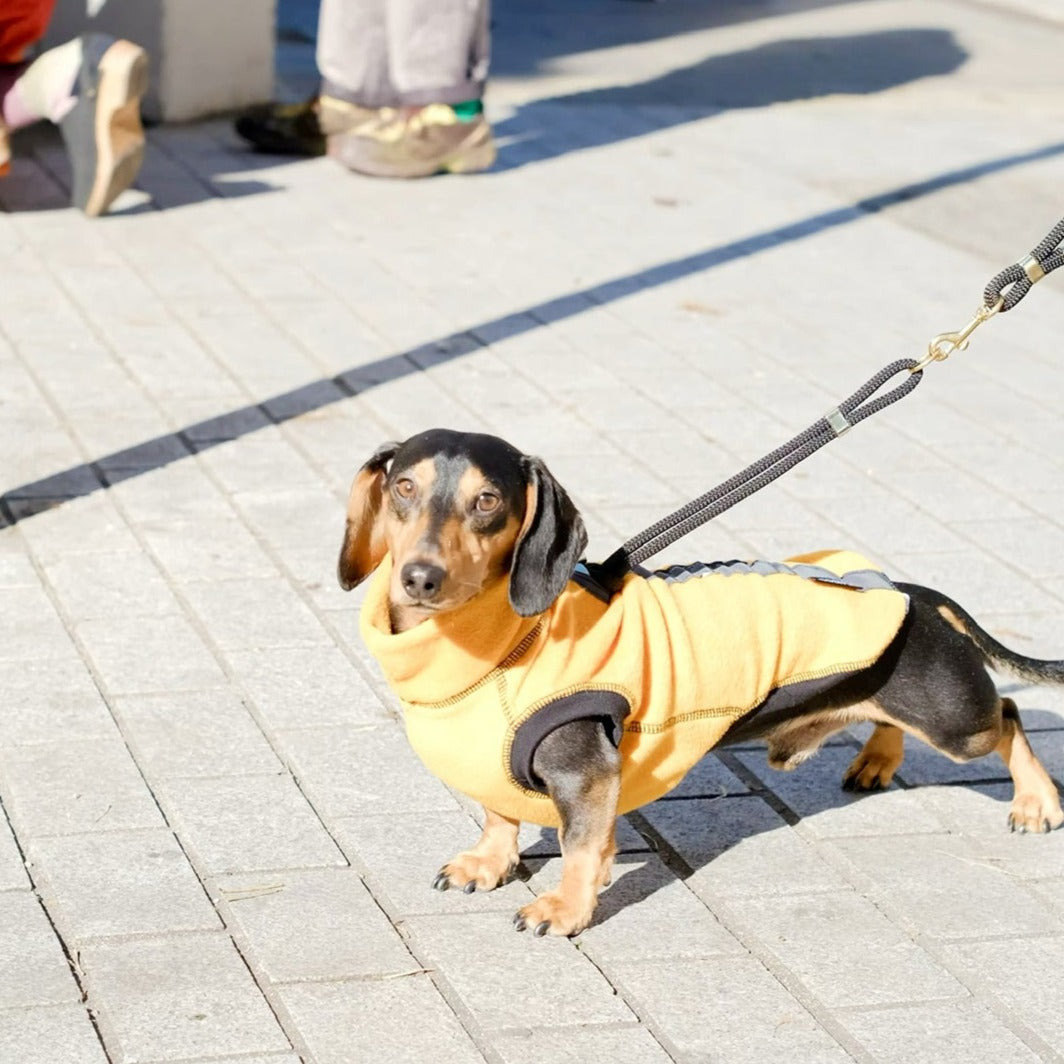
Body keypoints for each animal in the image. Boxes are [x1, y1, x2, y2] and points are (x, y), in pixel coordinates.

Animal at [338, 427, 1064, 936]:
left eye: (486, 501)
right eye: (404, 488)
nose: (420, 578)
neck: (503, 643)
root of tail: (909, 591)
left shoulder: (584, 773)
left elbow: (580, 847)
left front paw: (564, 910)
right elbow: (498, 813)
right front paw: (488, 864)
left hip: (955, 723)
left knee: (1007, 716)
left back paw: (1035, 803)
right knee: (897, 718)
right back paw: (877, 761)